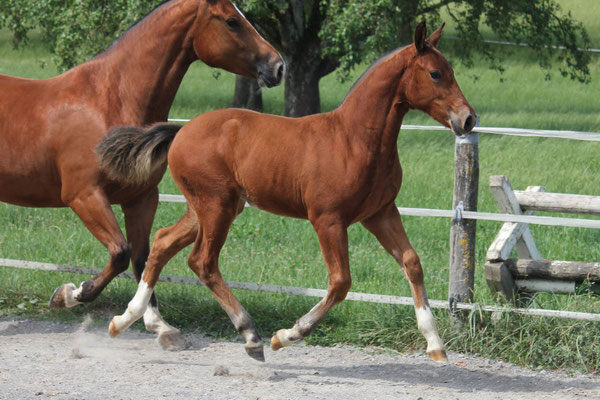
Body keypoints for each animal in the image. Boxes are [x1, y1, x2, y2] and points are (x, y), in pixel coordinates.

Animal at [0, 0, 284, 350]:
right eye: (232, 21)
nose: (278, 66)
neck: (110, 101)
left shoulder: (142, 198)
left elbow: (143, 258)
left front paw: (159, 326)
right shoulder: (84, 196)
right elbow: (121, 253)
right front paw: (68, 295)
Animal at [98, 20, 476, 360]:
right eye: (435, 74)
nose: (468, 119)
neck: (354, 140)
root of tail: (181, 130)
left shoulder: (380, 213)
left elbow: (412, 262)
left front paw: (435, 344)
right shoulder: (328, 219)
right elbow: (341, 281)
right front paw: (287, 335)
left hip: (208, 207)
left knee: (162, 243)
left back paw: (125, 320)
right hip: (217, 206)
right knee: (202, 261)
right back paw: (251, 336)